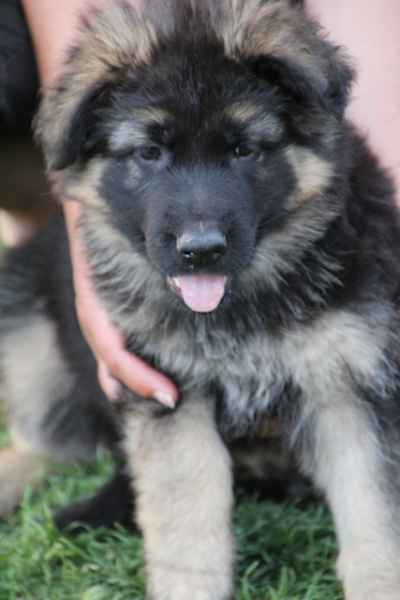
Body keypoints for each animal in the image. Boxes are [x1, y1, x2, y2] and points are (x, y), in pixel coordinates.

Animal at [1, 1, 400, 598]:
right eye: (150, 152)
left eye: (243, 149)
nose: (201, 250)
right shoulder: (167, 388)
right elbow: (188, 513)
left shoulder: (350, 386)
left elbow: (374, 515)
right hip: (24, 324)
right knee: (46, 440)